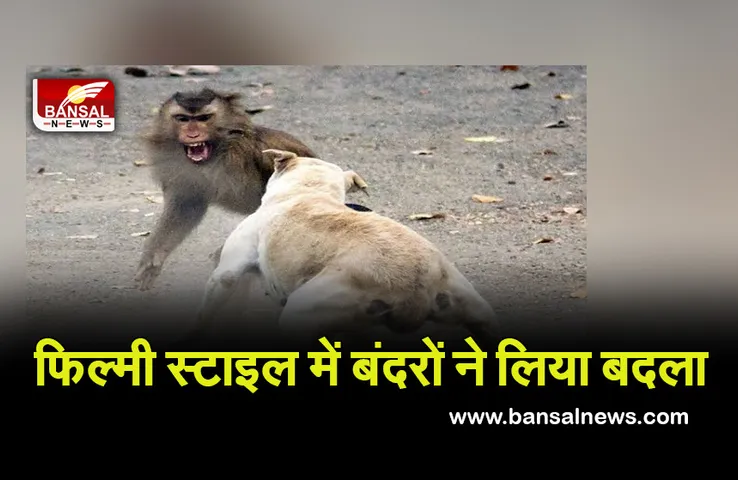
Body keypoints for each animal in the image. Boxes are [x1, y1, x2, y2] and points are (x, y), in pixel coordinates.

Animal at [134, 88, 328, 291]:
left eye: (204, 118)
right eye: (183, 119)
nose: (193, 135)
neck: (218, 154)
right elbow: (187, 208)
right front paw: (152, 260)